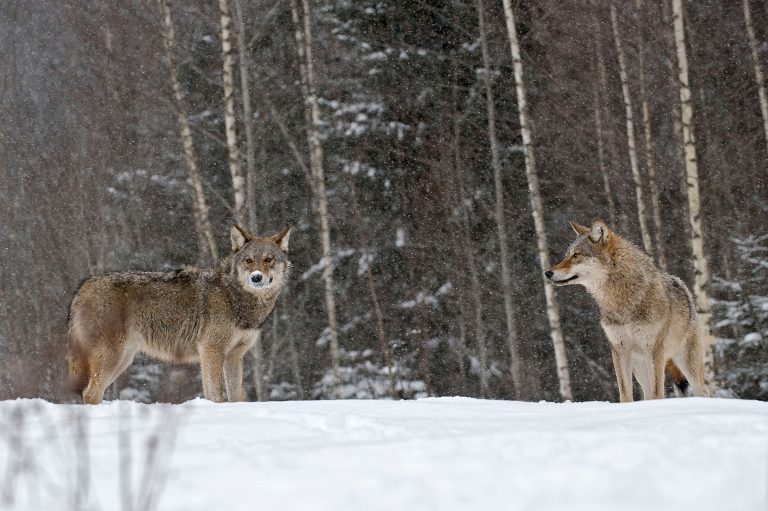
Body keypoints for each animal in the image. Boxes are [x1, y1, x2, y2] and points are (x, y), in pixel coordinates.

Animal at [67, 224, 292, 404]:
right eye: (248, 260)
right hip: (112, 357)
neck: (235, 297)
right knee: (90, 393)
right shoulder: (211, 350)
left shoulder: (234, 355)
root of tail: (84, 286)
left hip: (123, 360)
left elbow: (237, 397)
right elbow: (215, 395)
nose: (256, 278)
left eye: (269, 259)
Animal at [544, 220, 708, 404]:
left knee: (703, 390)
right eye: (567, 255)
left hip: (686, 363)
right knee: (647, 395)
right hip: (640, 367)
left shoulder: (654, 350)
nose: (547, 272)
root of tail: (684, 287)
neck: (620, 302)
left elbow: (658, 394)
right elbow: (625, 394)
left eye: (576, 255)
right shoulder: (619, 349)